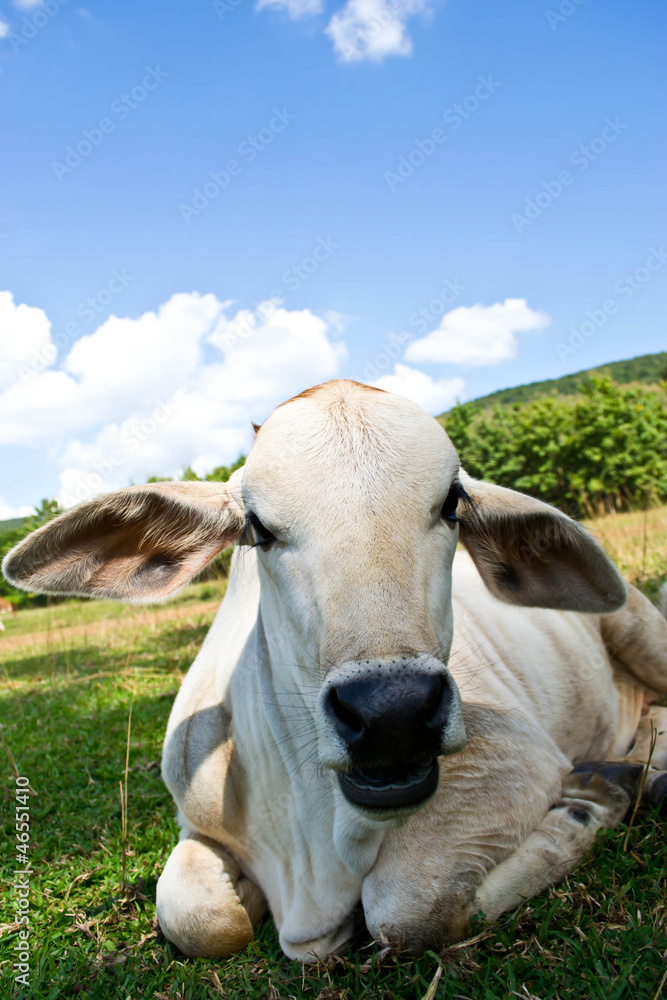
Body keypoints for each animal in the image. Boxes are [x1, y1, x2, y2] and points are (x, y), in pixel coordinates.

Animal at [3, 380, 667, 963]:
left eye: (452, 504)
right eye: (258, 528)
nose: (393, 714)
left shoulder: (518, 760)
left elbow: (408, 909)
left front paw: (585, 805)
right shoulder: (193, 822)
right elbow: (198, 917)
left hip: (640, 625)